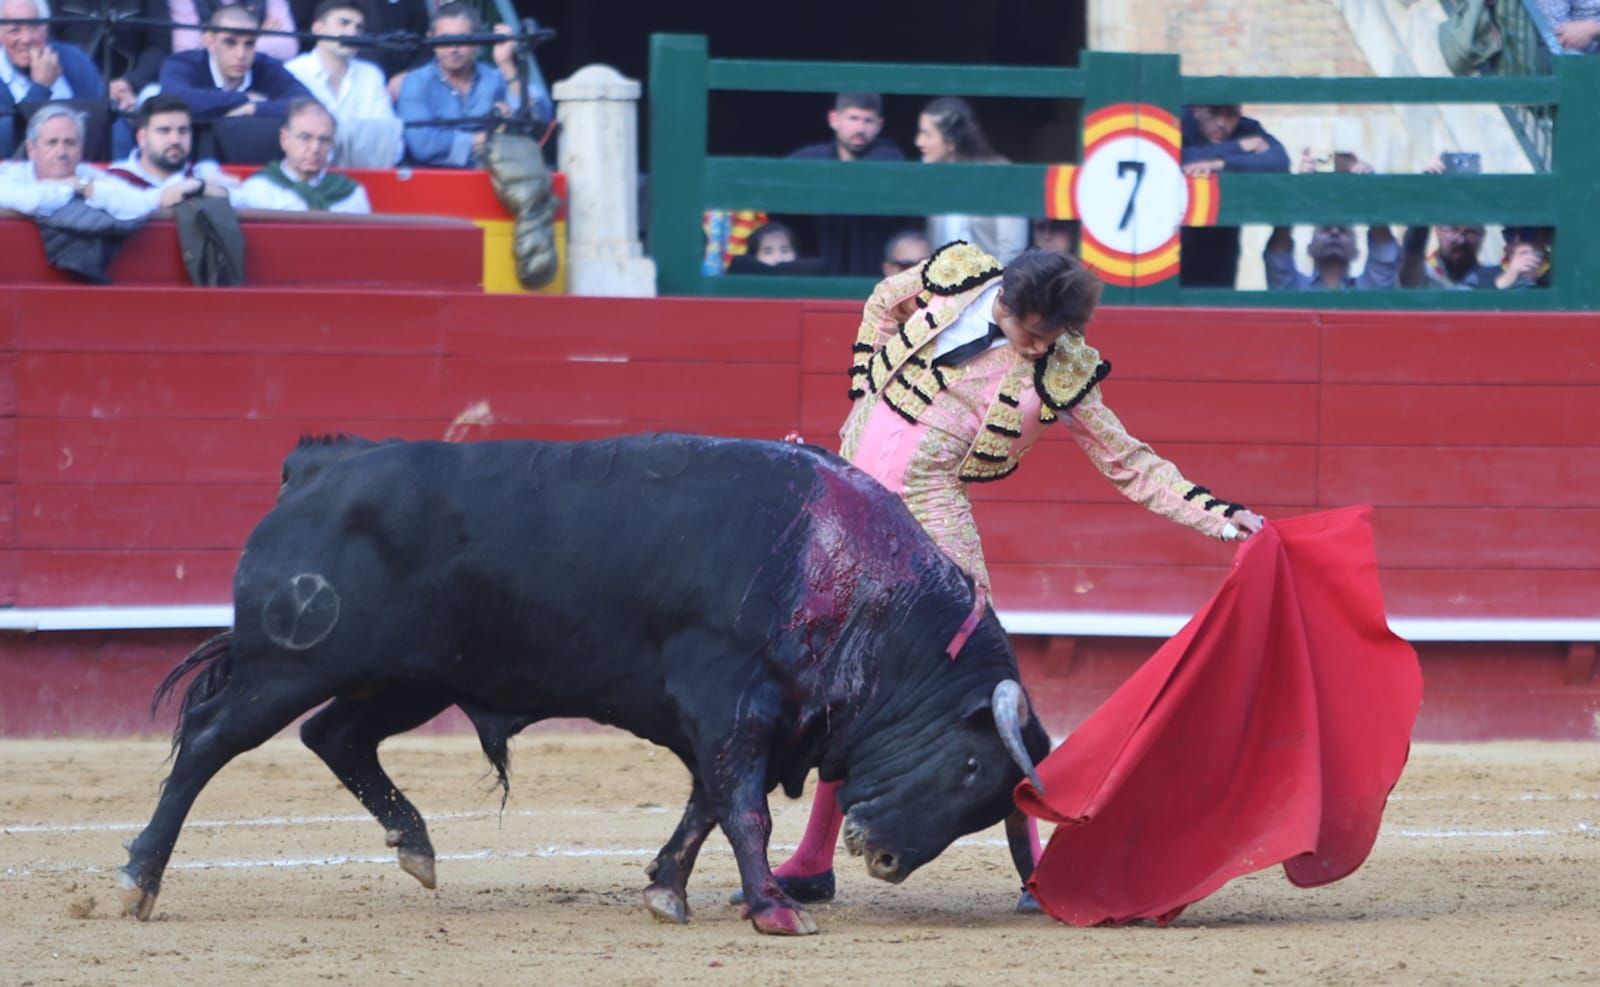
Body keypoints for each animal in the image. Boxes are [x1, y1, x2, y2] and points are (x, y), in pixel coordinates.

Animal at [121, 435, 1049, 934]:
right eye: (971, 767)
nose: (883, 858)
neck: (852, 582)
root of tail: (320, 463)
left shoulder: (739, 718)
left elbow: (704, 806)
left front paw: (666, 889)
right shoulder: (729, 701)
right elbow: (740, 806)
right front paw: (775, 908)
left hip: (412, 676)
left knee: (335, 734)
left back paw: (416, 844)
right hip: (288, 666)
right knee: (209, 741)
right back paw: (140, 878)